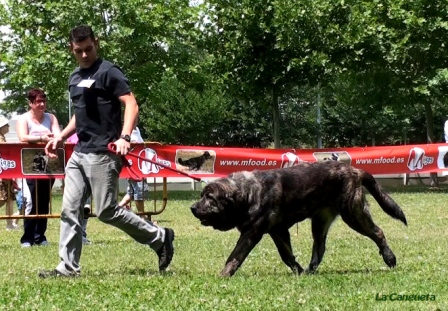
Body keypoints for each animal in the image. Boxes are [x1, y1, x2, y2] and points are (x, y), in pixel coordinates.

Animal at [191, 161, 408, 278]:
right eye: (201, 195)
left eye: (209, 198)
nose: (192, 207)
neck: (248, 193)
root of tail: (354, 170)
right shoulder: (278, 231)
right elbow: (286, 255)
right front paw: (299, 271)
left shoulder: (252, 233)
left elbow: (235, 255)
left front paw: (224, 274)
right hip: (319, 223)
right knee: (320, 248)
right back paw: (310, 270)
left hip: (353, 214)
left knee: (378, 232)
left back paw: (390, 258)